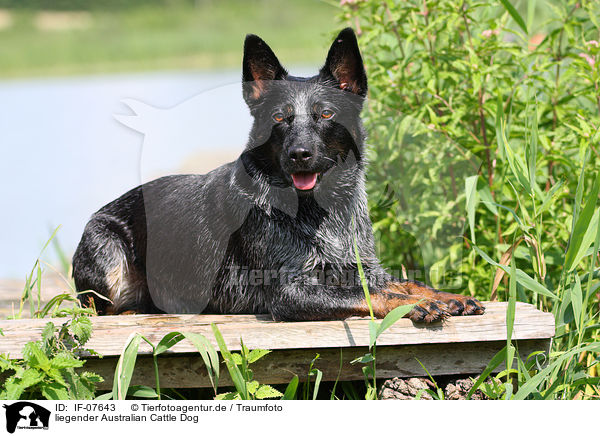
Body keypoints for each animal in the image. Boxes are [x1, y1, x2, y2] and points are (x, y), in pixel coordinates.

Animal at [72, 26, 486, 320]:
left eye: (325, 114)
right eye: (278, 118)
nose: (299, 155)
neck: (321, 212)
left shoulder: (362, 266)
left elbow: (408, 282)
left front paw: (446, 296)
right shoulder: (291, 292)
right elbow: (374, 293)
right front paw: (412, 304)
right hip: (106, 253)